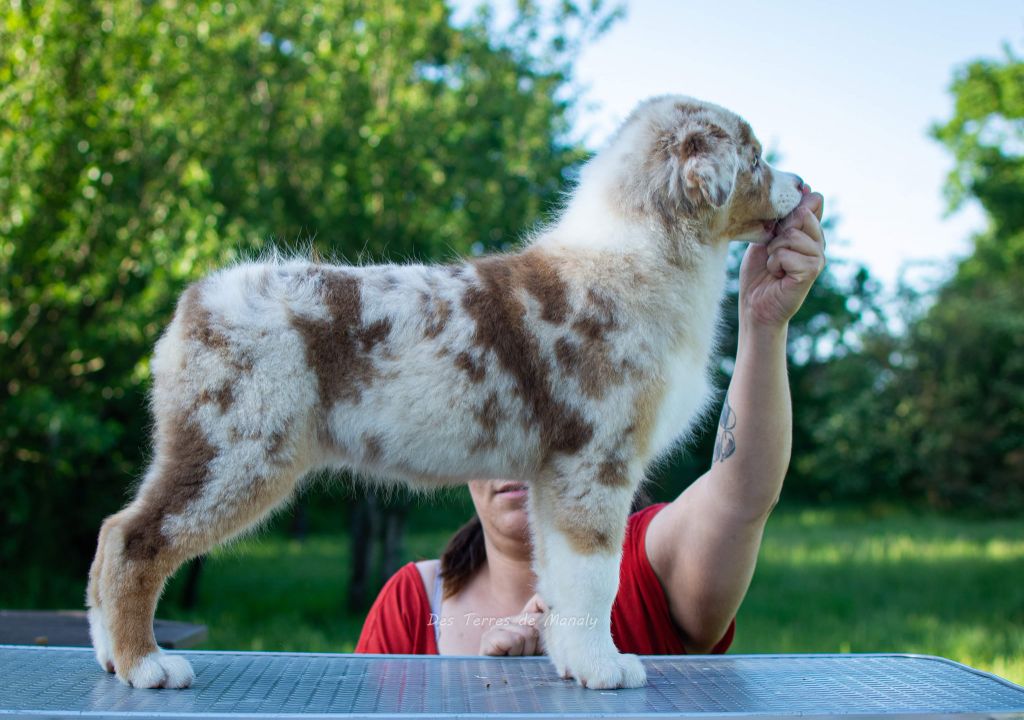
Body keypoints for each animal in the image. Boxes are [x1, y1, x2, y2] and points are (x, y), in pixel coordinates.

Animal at [88, 93, 802, 688]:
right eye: (756, 159)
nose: (803, 185)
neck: (640, 254)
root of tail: (196, 301)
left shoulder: (557, 475)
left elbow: (562, 578)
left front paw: (573, 663)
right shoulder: (595, 460)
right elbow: (597, 576)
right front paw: (605, 668)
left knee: (111, 535)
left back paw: (109, 654)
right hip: (237, 449)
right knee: (132, 538)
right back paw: (144, 664)